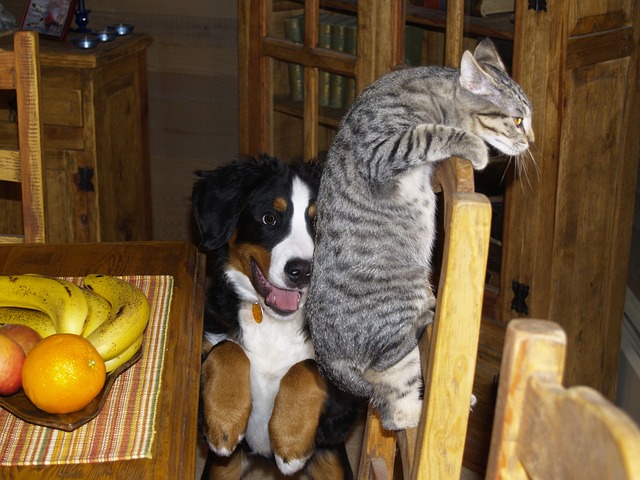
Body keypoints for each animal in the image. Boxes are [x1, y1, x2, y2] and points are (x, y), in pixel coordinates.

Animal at [192, 157, 358, 480]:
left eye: (319, 222)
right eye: (269, 219)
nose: (302, 270)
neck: (273, 322)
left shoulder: (346, 397)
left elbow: (306, 367)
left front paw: (290, 442)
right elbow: (227, 349)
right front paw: (224, 421)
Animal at [304, 37, 536, 430]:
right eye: (518, 120)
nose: (531, 140)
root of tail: (326, 356)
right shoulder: (381, 150)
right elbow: (430, 132)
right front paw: (475, 148)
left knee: (393, 409)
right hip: (402, 305)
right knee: (387, 377)